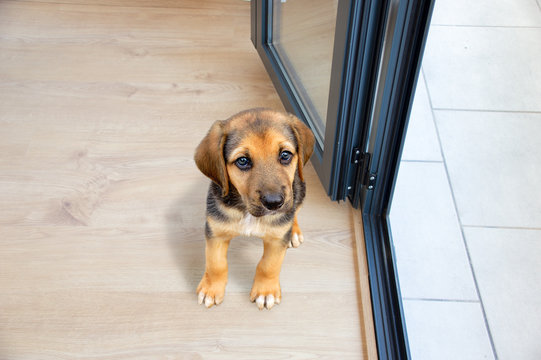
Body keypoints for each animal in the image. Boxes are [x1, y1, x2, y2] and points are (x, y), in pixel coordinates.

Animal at [193, 107, 314, 310]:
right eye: (242, 161)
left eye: (285, 155)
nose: (274, 203)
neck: (248, 212)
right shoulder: (216, 232)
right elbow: (215, 263)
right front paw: (211, 289)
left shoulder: (277, 239)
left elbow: (269, 265)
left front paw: (266, 292)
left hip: (300, 188)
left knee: (295, 208)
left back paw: (294, 231)